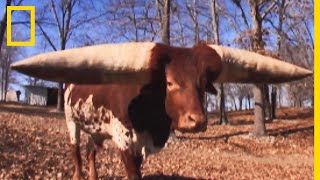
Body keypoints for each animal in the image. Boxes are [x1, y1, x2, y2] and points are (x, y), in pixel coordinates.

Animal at [11, 42, 312, 179]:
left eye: (203, 84)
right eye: (168, 82)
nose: (197, 121)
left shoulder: (141, 145)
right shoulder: (125, 141)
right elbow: (132, 173)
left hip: (96, 130)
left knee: (91, 151)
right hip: (71, 121)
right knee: (75, 150)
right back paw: (78, 174)